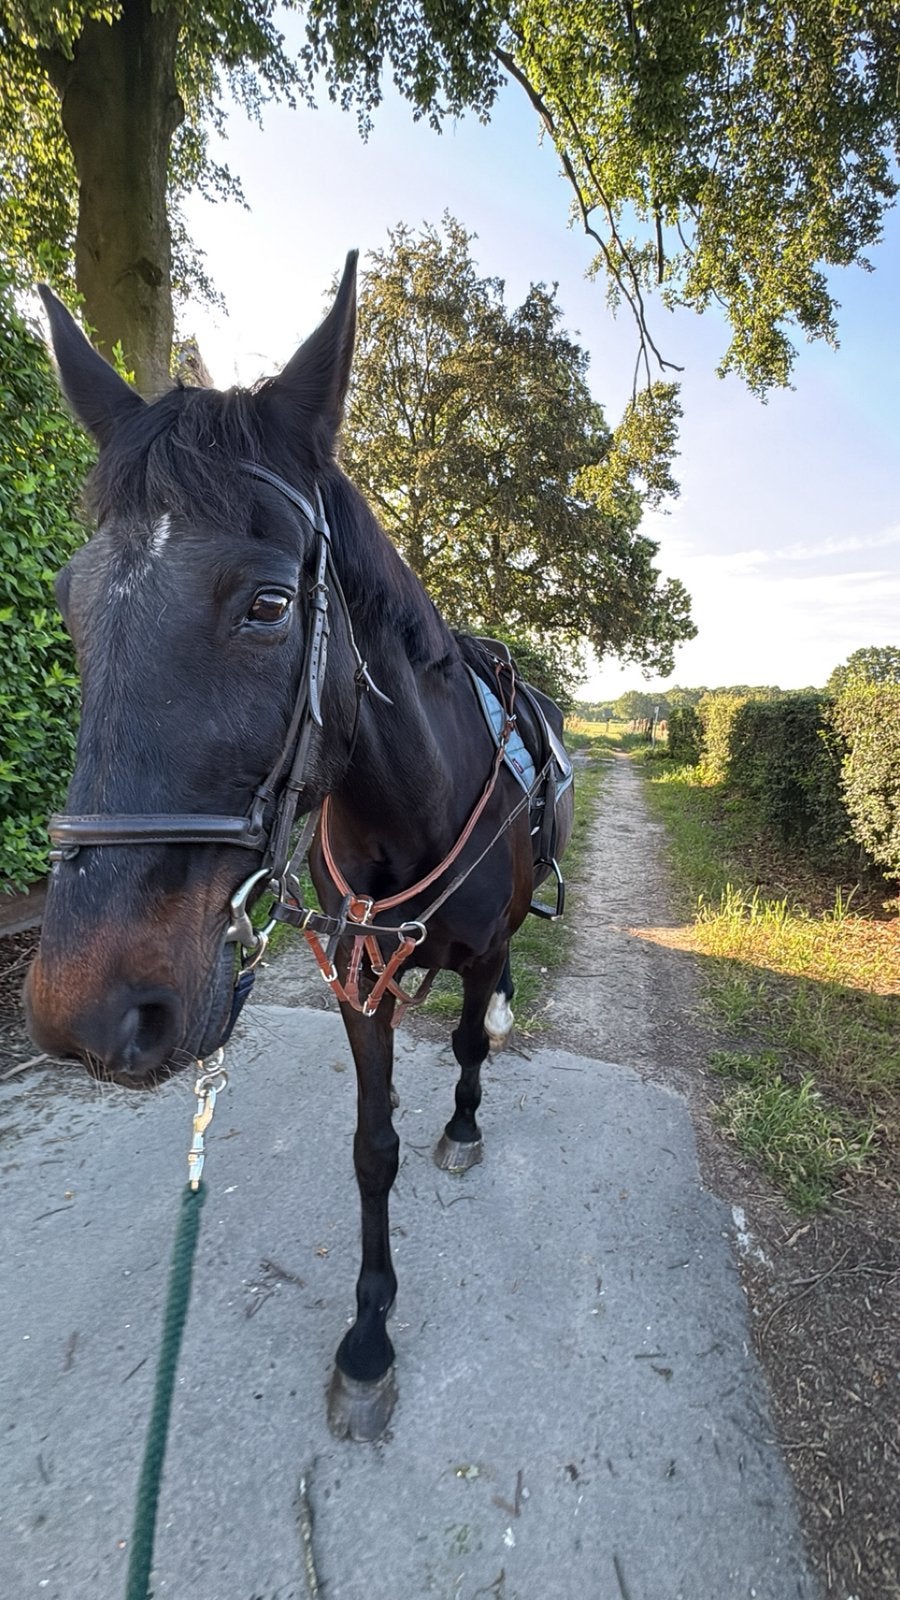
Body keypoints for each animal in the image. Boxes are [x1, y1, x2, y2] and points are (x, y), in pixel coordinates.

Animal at [25, 254, 574, 1441]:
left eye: (271, 604)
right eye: (69, 606)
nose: (89, 1010)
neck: (409, 806)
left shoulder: (468, 954)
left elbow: (467, 1048)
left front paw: (462, 1126)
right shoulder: (358, 982)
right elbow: (372, 1148)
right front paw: (369, 1336)